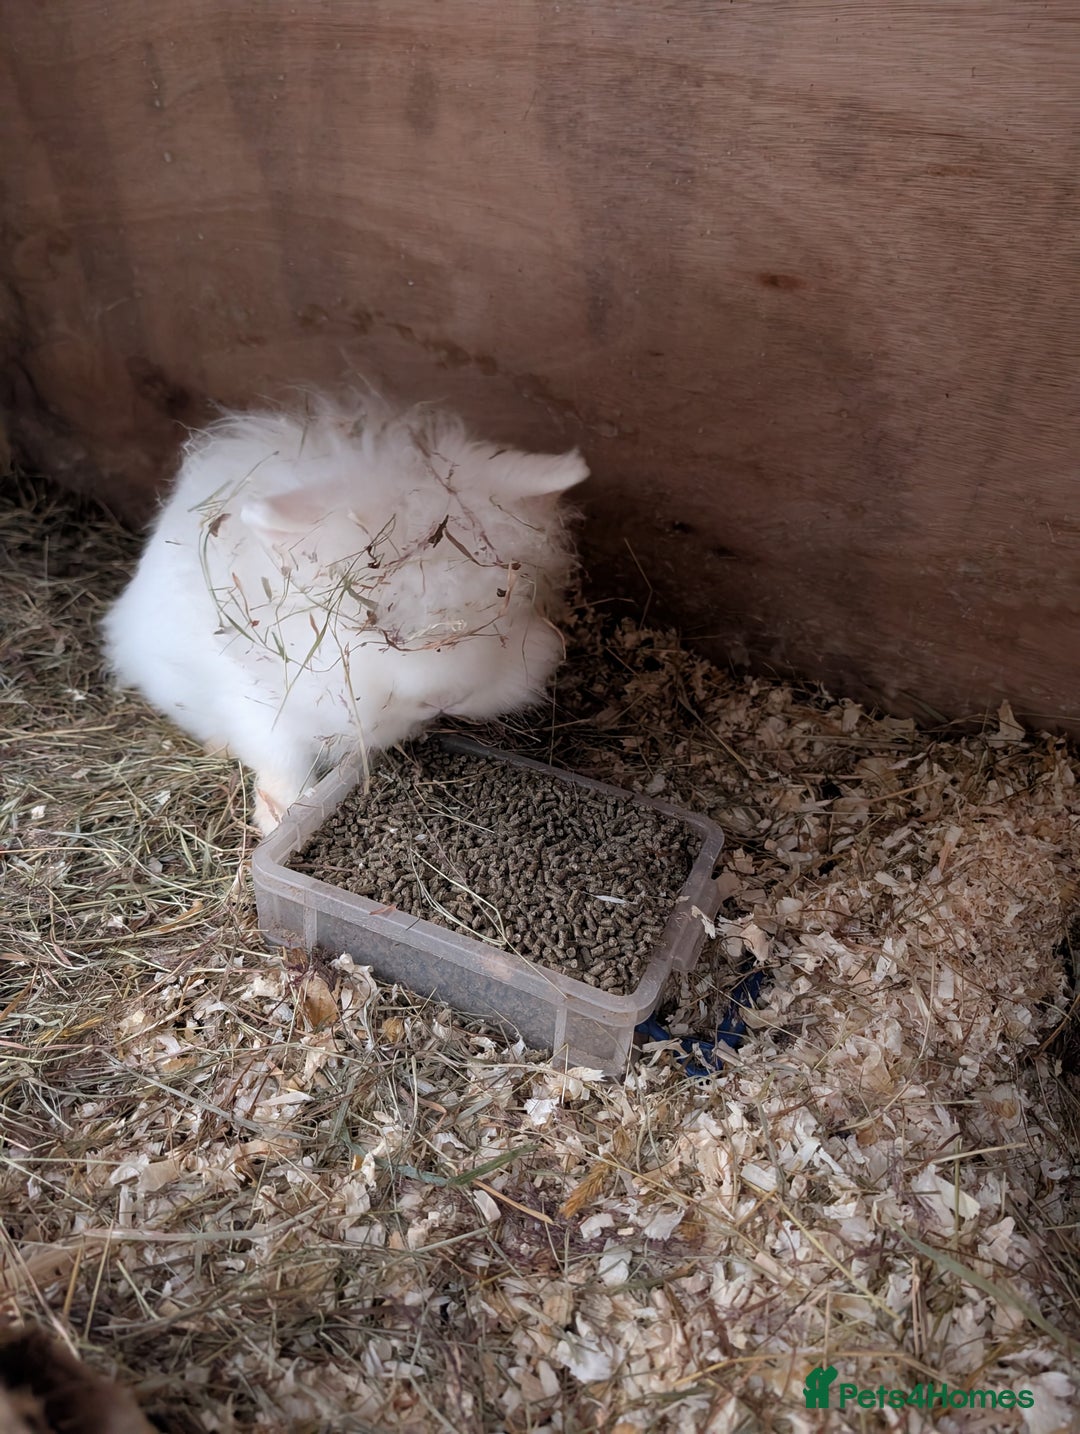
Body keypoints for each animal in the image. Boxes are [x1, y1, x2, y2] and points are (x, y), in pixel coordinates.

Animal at [103, 392, 586, 833]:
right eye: (379, 624)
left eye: (502, 608)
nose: (447, 698)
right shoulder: (251, 697)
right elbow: (280, 756)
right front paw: (280, 817)